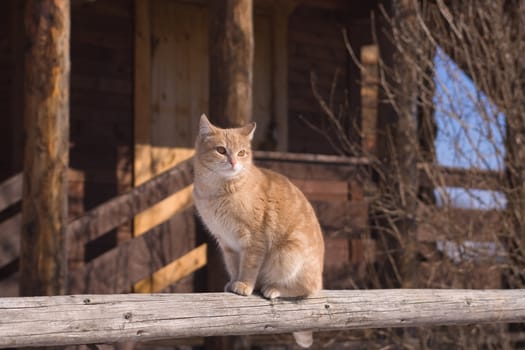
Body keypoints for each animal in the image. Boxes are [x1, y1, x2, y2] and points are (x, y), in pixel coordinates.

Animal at [192, 114, 324, 348]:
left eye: (242, 152)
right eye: (221, 150)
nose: (233, 162)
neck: (219, 191)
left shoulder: (253, 240)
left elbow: (249, 266)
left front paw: (244, 285)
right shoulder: (227, 244)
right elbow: (234, 267)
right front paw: (234, 282)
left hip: (288, 254)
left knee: (308, 290)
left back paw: (273, 288)